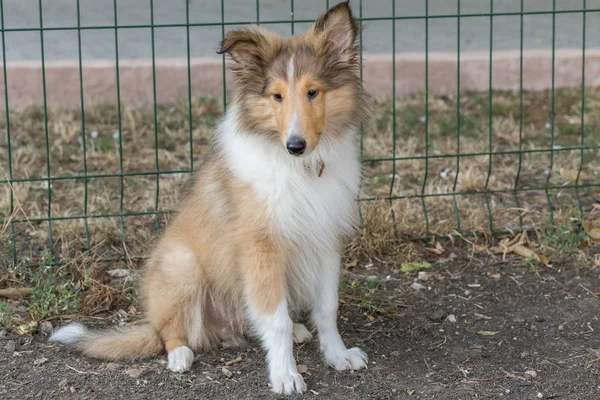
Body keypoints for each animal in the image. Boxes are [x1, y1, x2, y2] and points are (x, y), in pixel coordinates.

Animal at [50, 0, 370, 394]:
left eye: (313, 92)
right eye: (276, 96)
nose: (295, 145)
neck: (301, 169)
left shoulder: (325, 239)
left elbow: (326, 309)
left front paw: (338, 355)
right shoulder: (260, 247)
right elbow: (275, 320)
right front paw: (285, 375)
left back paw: (292, 330)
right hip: (182, 267)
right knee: (170, 332)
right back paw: (180, 356)